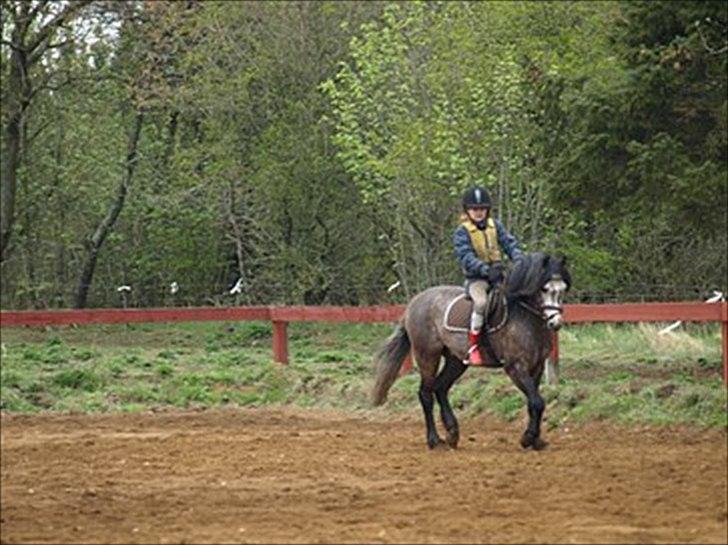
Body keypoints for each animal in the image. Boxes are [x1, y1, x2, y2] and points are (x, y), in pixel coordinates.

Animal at [371, 252, 571, 450]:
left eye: (562, 289)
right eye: (544, 289)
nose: (555, 323)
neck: (525, 316)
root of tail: (413, 303)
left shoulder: (536, 367)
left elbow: (534, 402)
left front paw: (535, 440)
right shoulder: (515, 367)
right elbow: (537, 401)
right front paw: (528, 438)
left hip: (456, 361)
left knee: (440, 388)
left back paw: (452, 434)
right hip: (427, 356)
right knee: (425, 394)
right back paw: (434, 440)